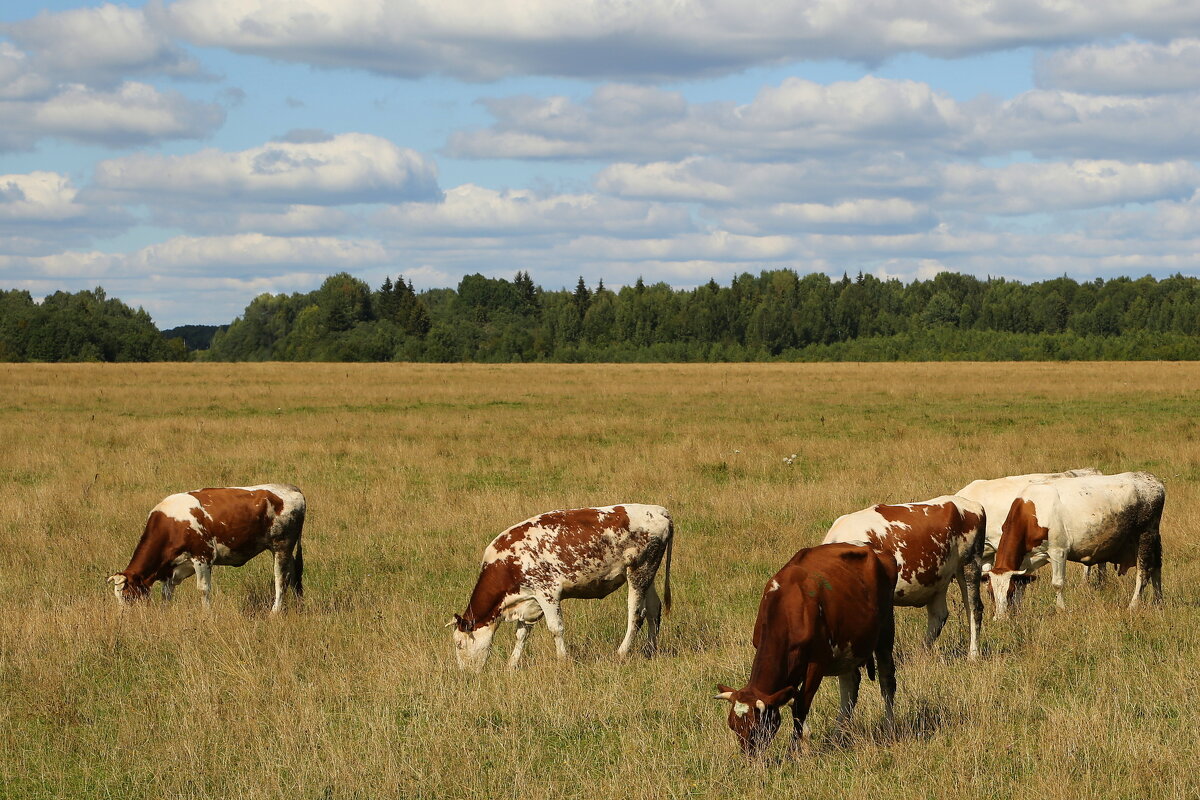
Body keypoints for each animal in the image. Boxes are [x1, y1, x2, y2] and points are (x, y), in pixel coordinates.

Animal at [108, 482, 307, 614]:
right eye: (117, 597)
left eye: (126, 595)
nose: (124, 616)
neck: (171, 525)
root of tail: (291, 488)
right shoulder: (173, 567)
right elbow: (166, 592)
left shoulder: (202, 557)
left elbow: (203, 589)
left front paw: (206, 615)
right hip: (287, 550)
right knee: (294, 574)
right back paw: (297, 605)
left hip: (281, 546)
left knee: (281, 578)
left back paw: (275, 611)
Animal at [451, 503, 676, 671]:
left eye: (459, 644)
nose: (465, 673)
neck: (509, 563)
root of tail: (658, 510)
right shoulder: (530, 601)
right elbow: (522, 634)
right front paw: (512, 664)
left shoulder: (547, 593)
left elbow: (556, 629)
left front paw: (562, 660)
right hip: (648, 574)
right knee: (653, 610)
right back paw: (650, 650)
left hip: (639, 570)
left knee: (636, 615)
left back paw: (622, 652)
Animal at [710, 542, 902, 753]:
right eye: (733, 726)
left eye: (757, 727)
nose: (750, 757)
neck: (787, 608)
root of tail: (873, 549)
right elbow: (794, 702)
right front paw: (803, 742)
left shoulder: (816, 663)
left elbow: (801, 706)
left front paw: (797, 749)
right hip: (848, 650)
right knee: (850, 686)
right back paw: (838, 736)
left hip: (885, 630)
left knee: (887, 682)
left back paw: (889, 729)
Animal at [825, 496, 984, 662]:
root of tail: (971, 504)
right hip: (938, 579)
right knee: (939, 615)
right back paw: (922, 654)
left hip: (970, 564)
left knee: (974, 608)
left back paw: (973, 655)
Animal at [984, 470, 1161, 618]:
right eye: (990, 593)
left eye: (1009, 592)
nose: (999, 618)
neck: (1031, 513)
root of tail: (1152, 479)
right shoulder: (1027, 560)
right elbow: (1022, 583)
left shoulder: (1058, 551)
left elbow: (1057, 583)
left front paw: (1060, 609)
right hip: (1154, 539)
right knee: (1157, 568)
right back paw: (1159, 601)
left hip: (1145, 536)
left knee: (1143, 572)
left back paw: (1133, 605)